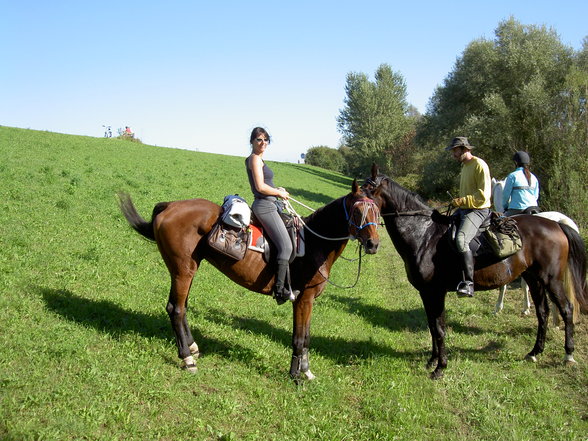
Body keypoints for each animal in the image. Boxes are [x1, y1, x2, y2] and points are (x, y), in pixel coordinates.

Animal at [118, 179, 382, 378]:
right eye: (357, 211)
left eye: (378, 211)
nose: (373, 244)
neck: (315, 243)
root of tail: (171, 206)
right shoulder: (303, 299)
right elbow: (299, 338)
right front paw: (295, 375)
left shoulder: (308, 300)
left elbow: (306, 336)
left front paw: (306, 372)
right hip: (182, 270)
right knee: (176, 308)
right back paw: (187, 359)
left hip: (188, 268)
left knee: (181, 308)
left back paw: (192, 348)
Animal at [362, 165, 588, 378]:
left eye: (367, 191)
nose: (369, 242)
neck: (424, 234)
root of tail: (556, 224)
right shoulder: (427, 293)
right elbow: (432, 326)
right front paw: (432, 361)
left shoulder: (435, 292)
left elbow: (439, 328)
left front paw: (440, 368)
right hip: (534, 278)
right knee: (542, 312)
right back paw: (534, 352)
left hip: (552, 279)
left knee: (566, 309)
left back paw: (568, 354)